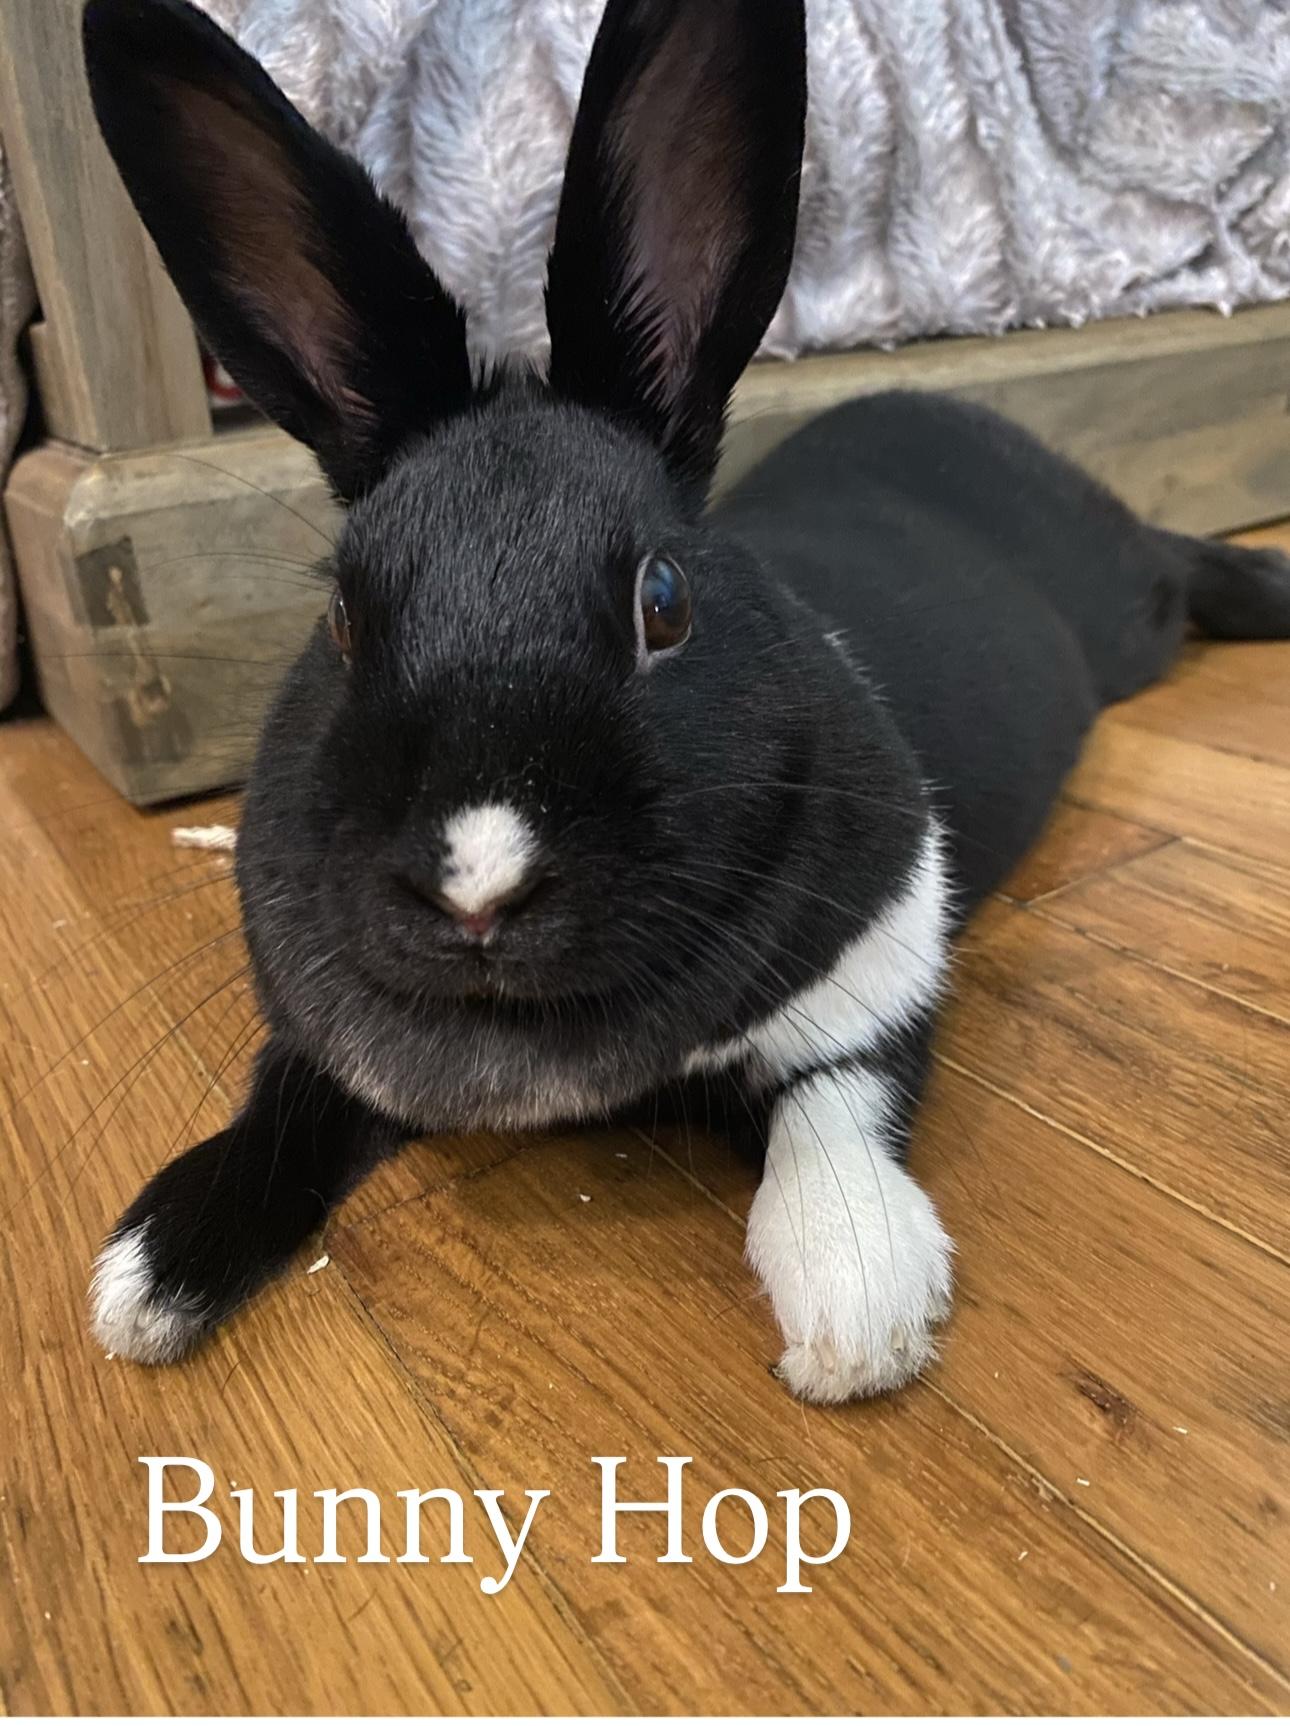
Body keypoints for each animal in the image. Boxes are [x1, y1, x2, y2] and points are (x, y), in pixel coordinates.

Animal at [83, 0, 1290, 1402]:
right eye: (342, 614)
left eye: (662, 599)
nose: (476, 887)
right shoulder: (324, 1046)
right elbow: (280, 1105)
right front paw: (149, 1274)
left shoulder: (878, 973)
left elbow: (831, 1107)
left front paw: (857, 1302)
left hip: (1123, 607)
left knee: (1178, 559)